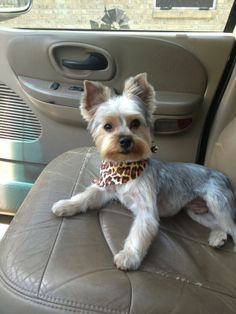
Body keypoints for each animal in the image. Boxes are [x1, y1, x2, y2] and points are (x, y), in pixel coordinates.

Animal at [51, 73, 236, 270]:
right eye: (107, 126)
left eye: (135, 123)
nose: (125, 140)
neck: (124, 168)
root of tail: (223, 175)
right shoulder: (106, 189)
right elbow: (86, 196)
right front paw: (66, 205)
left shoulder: (146, 208)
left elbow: (139, 233)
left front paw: (128, 256)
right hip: (195, 211)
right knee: (219, 224)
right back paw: (218, 236)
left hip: (218, 201)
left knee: (232, 225)